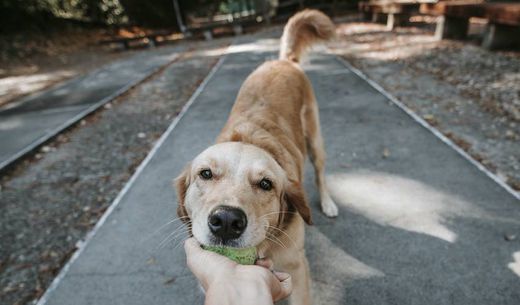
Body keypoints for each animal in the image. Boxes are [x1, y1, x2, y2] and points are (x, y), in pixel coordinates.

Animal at [175, 10, 338, 304]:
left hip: (315, 138)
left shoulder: (297, 269)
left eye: (265, 184)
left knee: (320, 172)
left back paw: (329, 203)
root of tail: (283, 60)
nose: (227, 222)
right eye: (205, 174)